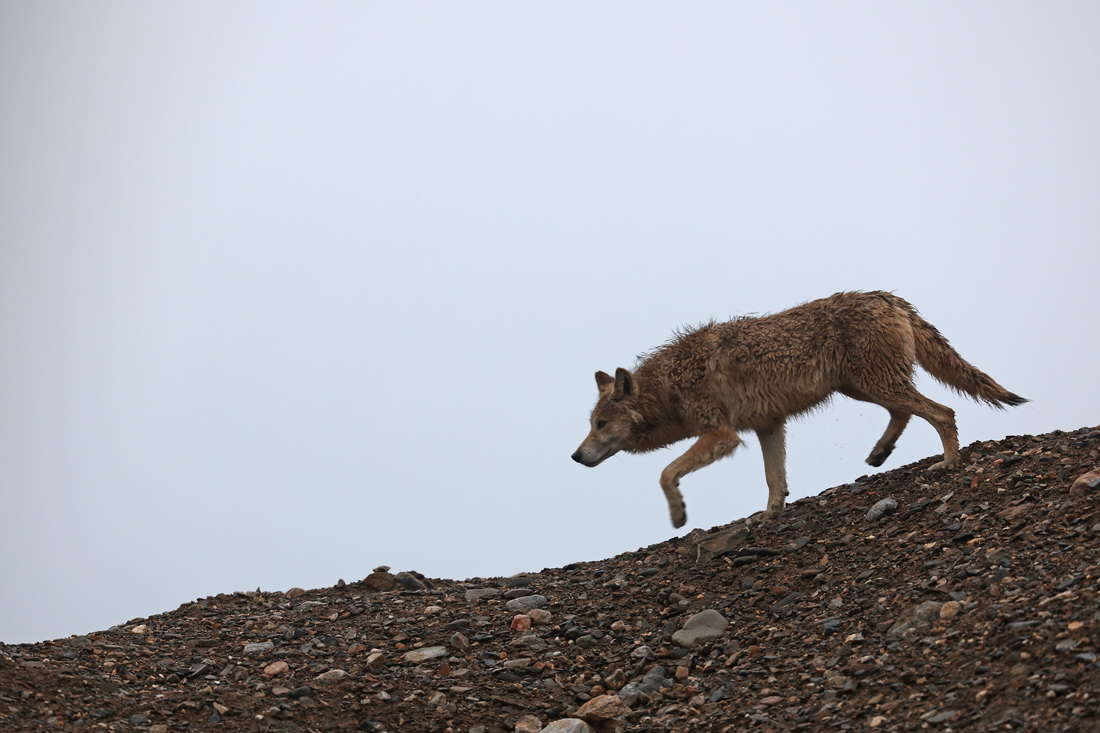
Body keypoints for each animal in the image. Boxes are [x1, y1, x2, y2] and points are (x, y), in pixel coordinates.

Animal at [572, 290, 1025, 526]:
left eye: (601, 424)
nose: (575, 456)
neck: (667, 387)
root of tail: (889, 297)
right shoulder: (768, 425)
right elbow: (775, 479)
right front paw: (770, 514)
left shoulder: (722, 435)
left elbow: (666, 473)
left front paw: (679, 515)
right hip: (864, 389)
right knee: (908, 413)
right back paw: (880, 453)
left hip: (877, 386)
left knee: (942, 413)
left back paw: (947, 463)